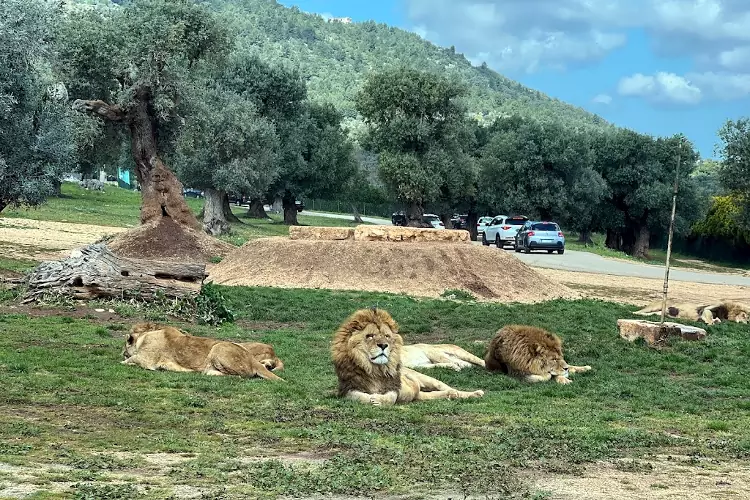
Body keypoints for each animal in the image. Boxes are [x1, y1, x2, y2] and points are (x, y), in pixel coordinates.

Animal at [122, 322, 286, 380]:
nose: (122, 352)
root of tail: (252, 359)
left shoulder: (146, 360)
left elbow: (129, 360)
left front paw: (125, 360)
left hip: (218, 347)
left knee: (239, 376)